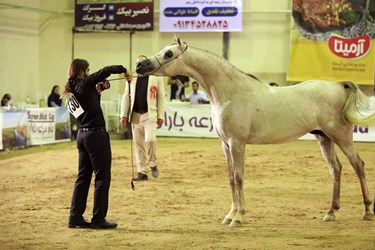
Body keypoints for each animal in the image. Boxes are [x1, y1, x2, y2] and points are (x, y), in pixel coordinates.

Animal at [136, 35, 375, 229]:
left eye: (168, 53)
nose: (140, 65)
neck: (230, 92)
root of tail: (339, 86)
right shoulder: (225, 144)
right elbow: (231, 178)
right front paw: (229, 215)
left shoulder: (237, 143)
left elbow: (239, 177)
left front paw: (238, 217)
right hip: (324, 138)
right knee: (336, 169)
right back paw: (331, 212)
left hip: (341, 137)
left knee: (358, 165)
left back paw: (367, 212)